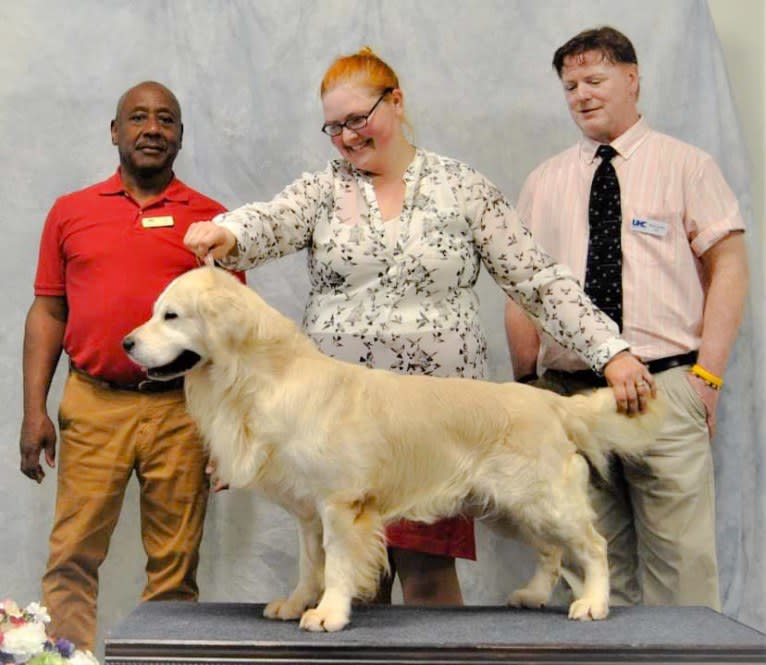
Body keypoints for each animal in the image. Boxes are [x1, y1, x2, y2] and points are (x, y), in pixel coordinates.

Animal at [124, 266, 664, 632]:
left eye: (171, 316)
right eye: (153, 312)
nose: (127, 342)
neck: (266, 380)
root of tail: (553, 404)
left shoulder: (342, 504)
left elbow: (338, 565)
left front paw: (329, 612)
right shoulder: (308, 511)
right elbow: (309, 563)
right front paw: (296, 603)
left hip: (545, 499)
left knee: (592, 546)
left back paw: (593, 603)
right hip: (509, 509)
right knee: (552, 552)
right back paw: (532, 594)